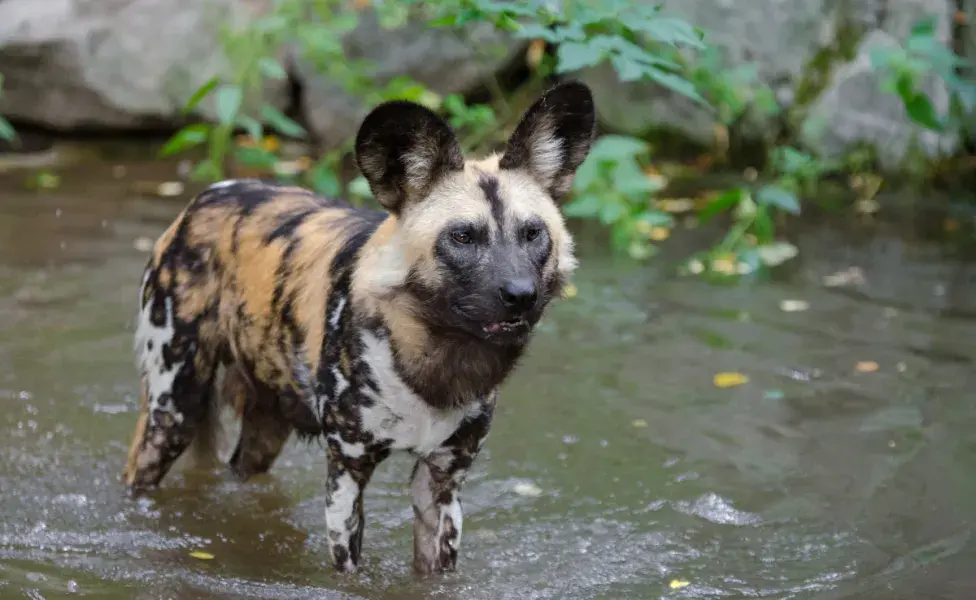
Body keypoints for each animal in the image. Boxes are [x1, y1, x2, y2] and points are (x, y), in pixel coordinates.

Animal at [122, 78, 596, 572]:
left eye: (533, 234)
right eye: (463, 236)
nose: (521, 294)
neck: (433, 359)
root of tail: (208, 195)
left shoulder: (443, 482)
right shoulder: (348, 472)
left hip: (266, 423)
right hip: (173, 411)